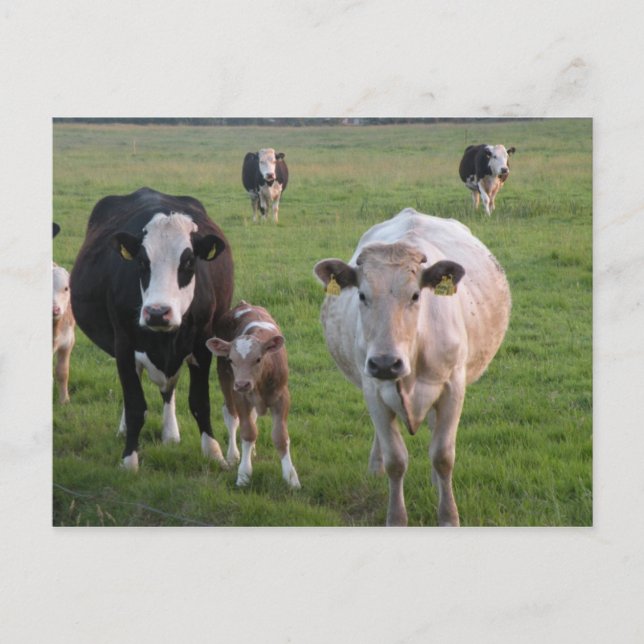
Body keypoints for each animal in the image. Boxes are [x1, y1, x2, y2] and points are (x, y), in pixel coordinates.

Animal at [70, 187, 234, 471]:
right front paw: (129, 460)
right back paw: (126, 430)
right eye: (142, 262)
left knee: (169, 390)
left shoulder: (202, 344)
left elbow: (200, 402)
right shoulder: (123, 345)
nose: (157, 312)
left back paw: (171, 434)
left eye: (188, 262)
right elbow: (136, 404)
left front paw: (214, 454)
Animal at [206, 301, 300, 489]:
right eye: (231, 359)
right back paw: (233, 455)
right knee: (231, 415)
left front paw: (291, 477)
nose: (243, 384)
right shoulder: (241, 397)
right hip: (225, 379)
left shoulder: (282, 397)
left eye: (258, 359)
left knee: (253, 416)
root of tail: (243, 304)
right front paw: (243, 474)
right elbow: (248, 432)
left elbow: (280, 436)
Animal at [313, 208, 511, 526]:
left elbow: (443, 455)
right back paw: (375, 467)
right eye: (362, 295)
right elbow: (396, 459)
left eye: (416, 295)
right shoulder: (373, 390)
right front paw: (396, 517)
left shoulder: (453, 388)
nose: (385, 363)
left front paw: (448, 515)